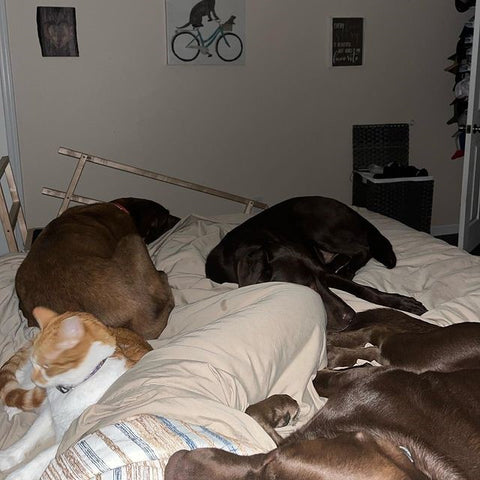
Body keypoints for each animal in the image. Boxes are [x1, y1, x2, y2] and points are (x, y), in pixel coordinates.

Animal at [0, 306, 152, 478]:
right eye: (36, 363)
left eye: (46, 366)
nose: (35, 378)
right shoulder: (50, 412)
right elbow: (30, 436)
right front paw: (8, 456)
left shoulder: (72, 437)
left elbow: (41, 457)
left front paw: (20, 475)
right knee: (19, 379)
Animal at [164, 310, 480, 478]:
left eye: (270, 469)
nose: (174, 464)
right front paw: (280, 408)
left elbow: (315, 382)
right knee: (378, 337)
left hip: (419, 351)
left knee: (382, 334)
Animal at [206, 195, 428, 330]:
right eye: (306, 286)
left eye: (319, 281)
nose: (351, 316)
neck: (255, 245)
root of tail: (350, 208)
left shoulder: (324, 273)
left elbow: (365, 289)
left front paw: (400, 301)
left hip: (320, 229)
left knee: (363, 248)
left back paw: (346, 270)